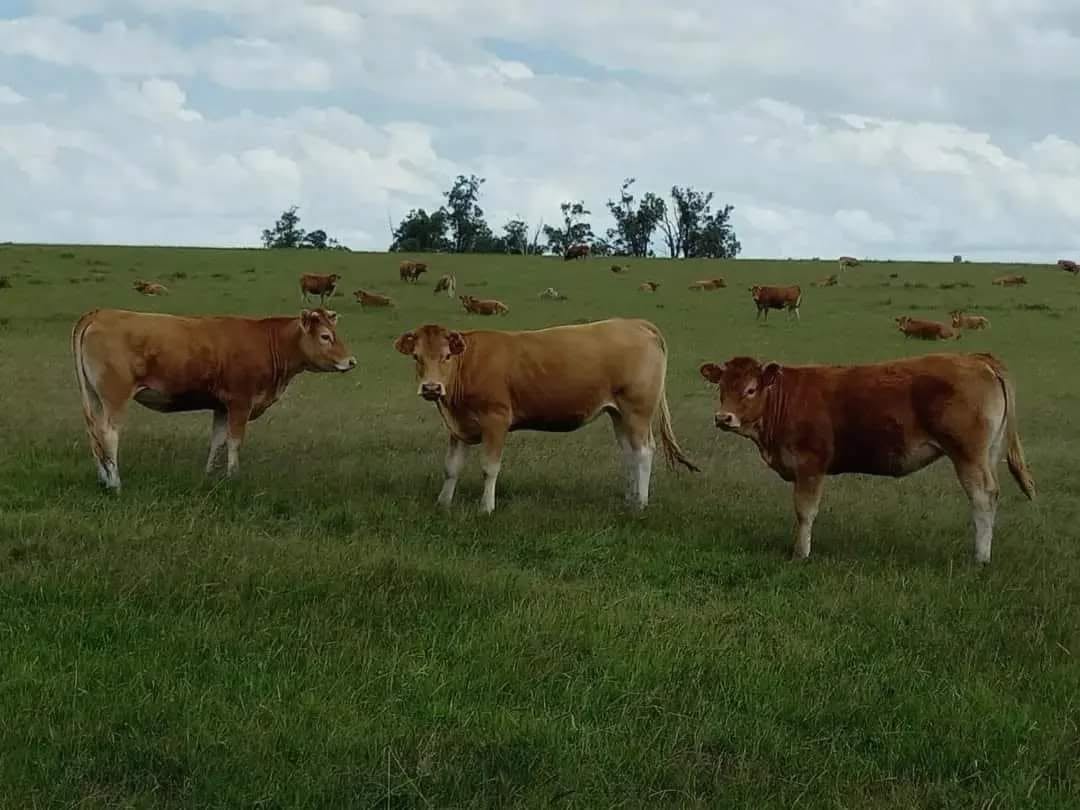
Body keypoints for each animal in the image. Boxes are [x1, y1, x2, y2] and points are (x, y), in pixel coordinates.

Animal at [71, 308, 356, 491]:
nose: (351, 361)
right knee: (108, 435)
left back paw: (103, 479)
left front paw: (209, 475)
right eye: (325, 336)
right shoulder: (241, 403)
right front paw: (234, 477)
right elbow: (234, 442)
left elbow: (217, 441)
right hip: (115, 397)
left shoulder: (222, 407)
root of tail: (100, 313)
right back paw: (115, 483)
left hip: (94, 398)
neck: (267, 342)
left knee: (94, 435)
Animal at [394, 318, 698, 513]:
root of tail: (635, 323)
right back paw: (629, 498)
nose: (431, 387)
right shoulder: (458, 427)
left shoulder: (496, 420)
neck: (468, 364)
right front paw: (443, 504)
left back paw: (641, 504)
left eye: (446, 356)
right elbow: (451, 468)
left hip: (637, 410)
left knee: (644, 452)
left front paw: (486, 507)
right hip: (619, 413)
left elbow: (489, 468)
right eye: (417, 357)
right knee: (629, 454)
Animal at [699, 353, 1035, 563]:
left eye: (751, 389)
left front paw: (800, 553)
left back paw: (980, 558)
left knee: (983, 497)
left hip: (968, 455)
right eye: (721, 388)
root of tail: (977, 358)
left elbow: (805, 512)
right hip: (988, 454)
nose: (723, 417)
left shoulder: (810, 466)